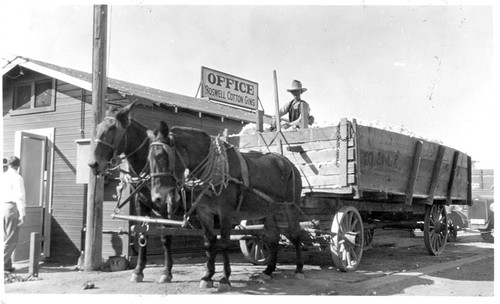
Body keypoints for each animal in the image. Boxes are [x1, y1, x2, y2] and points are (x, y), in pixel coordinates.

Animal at [87, 102, 176, 282]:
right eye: (97, 127)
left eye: (112, 129)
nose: (93, 164)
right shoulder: (141, 204)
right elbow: (143, 234)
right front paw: (138, 270)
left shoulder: (165, 206)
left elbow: (165, 236)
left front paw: (166, 272)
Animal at [146, 120, 304, 290]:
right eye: (149, 159)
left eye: (162, 156)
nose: (157, 198)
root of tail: (286, 162)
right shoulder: (204, 212)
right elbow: (209, 243)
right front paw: (207, 276)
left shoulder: (225, 213)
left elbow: (224, 243)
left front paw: (224, 278)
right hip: (268, 209)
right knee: (274, 237)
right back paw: (268, 271)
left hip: (291, 206)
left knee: (295, 234)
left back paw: (299, 269)